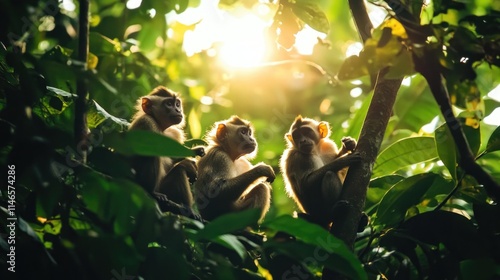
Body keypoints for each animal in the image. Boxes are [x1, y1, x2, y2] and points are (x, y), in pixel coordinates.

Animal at [128, 86, 204, 217]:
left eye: (177, 104)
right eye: (169, 104)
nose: (178, 110)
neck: (161, 127)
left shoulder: (174, 134)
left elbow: (172, 159)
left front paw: (194, 153)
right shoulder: (147, 122)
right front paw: (190, 164)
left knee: (179, 171)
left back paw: (187, 209)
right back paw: (152, 192)